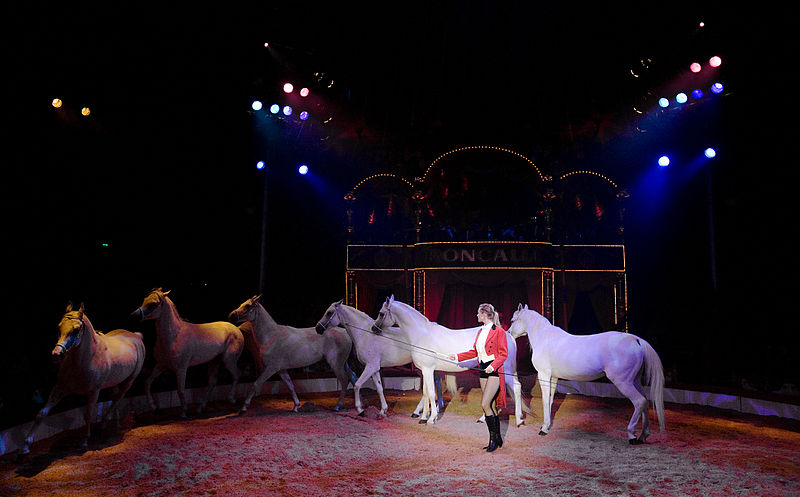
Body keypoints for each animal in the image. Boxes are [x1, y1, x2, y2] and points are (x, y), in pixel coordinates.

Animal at [21, 302, 147, 454]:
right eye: (59, 326)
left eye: (76, 329)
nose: (56, 354)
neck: (85, 359)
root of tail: (136, 336)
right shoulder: (60, 388)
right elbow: (41, 413)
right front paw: (25, 448)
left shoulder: (93, 392)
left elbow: (88, 415)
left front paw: (84, 442)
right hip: (114, 382)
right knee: (114, 399)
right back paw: (113, 424)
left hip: (129, 381)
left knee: (117, 399)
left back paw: (103, 425)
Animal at [133, 286, 244, 418]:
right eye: (144, 299)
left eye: (153, 303)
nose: (134, 315)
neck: (174, 336)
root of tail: (237, 329)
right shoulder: (161, 365)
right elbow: (147, 383)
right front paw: (154, 408)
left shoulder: (181, 368)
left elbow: (180, 390)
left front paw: (184, 412)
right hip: (214, 361)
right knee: (212, 382)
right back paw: (200, 408)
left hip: (228, 360)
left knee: (236, 375)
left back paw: (232, 400)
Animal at [316, 298, 460, 418]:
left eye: (329, 313)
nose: (318, 328)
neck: (364, 334)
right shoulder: (374, 369)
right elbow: (379, 389)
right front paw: (382, 411)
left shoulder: (370, 366)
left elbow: (357, 385)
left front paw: (360, 410)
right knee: (436, 384)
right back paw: (434, 409)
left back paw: (420, 411)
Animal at [374, 294, 528, 426]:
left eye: (381, 313)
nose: (374, 328)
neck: (422, 334)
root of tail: (507, 335)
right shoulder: (425, 370)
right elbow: (425, 393)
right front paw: (423, 417)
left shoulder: (428, 369)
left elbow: (431, 393)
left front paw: (432, 418)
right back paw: (485, 419)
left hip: (503, 371)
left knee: (516, 387)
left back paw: (518, 420)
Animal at [510, 304, 664, 444]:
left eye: (512, 320)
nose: (509, 333)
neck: (545, 338)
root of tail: (636, 340)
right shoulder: (553, 377)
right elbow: (550, 400)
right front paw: (547, 426)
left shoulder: (544, 375)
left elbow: (545, 400)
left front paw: (543, 429)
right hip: (635, 381)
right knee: (645, 402)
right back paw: (643, 435)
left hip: (623, 382)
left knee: (639, 401)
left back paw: (632, 435)